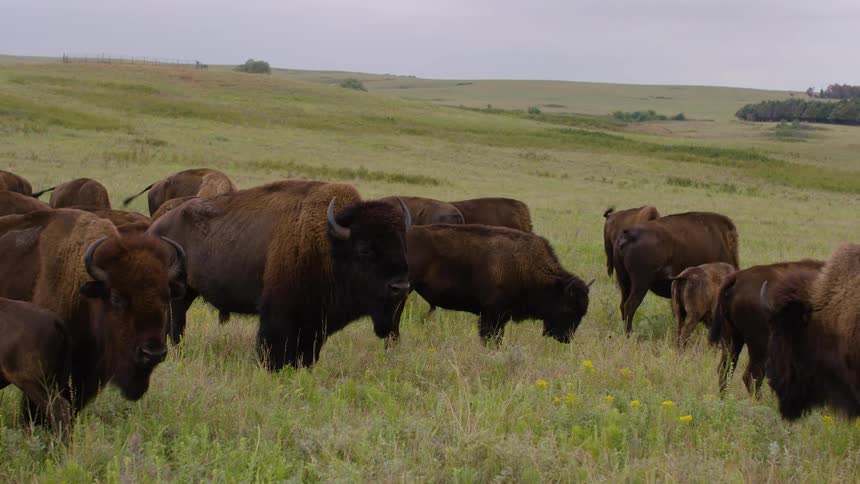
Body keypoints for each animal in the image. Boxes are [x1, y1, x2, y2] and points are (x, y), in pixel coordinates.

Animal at [147, 180, 411, 370]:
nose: (400, 287)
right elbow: (273, 349)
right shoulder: (278, 315)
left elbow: (308, 353)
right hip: (178, 293)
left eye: (402, 244)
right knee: (176, 325)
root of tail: (156, 227)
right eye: (365, 249)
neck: (329, 246)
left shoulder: (314, 322)